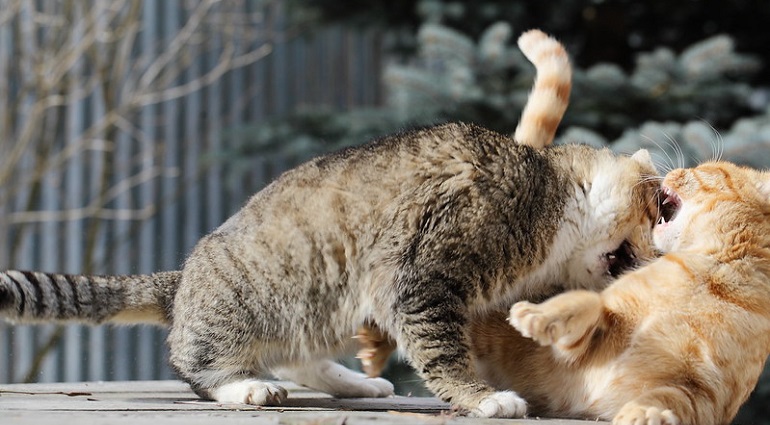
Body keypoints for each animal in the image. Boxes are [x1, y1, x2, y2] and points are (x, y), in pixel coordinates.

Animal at [0, 30, 660, 418]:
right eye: (659, 207)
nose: (664, 255)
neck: (549, 192)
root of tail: (184, 275)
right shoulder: (423, 277)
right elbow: (445, 354)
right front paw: (484, 398)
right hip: (251, 303)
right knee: (196, 364)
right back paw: (245, 387)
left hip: (329, 301)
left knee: (297, 355)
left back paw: (360, 385)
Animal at [474, 161, 768, 422]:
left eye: (706, 168)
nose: (672, 171)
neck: (709, 275)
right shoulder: (584, 342)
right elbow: (589, 302)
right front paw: (539, 315)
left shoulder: (707, 395)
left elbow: (669, 399)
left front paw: (645, 413)